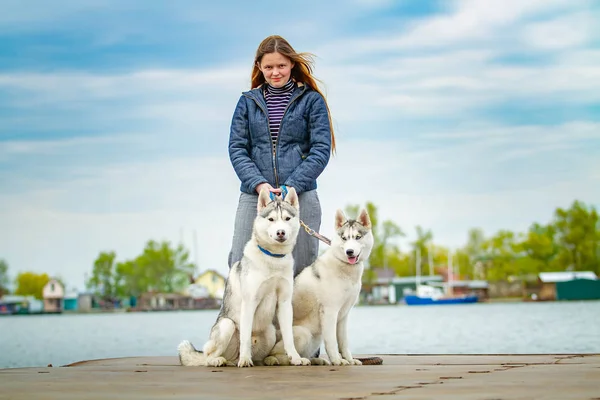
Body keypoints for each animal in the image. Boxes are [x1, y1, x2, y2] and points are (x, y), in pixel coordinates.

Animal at [177, 188, 310, 368]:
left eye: (287, 219)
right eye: (271, 219)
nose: (280, 232)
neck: (273, 258)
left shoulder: (284, 303)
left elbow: (289, 337)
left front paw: (296, 358)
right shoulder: (249, 302)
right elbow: (245, 337)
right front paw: (245, 359)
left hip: (269, 332)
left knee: (257, 356)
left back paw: (268, 360)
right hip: (227, 326)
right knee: (208, 356)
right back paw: (220, 360)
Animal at [264, 208, 372, 368]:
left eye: (357, 237)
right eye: (344, 238)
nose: (349, 252)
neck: (345, 267)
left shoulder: (343, 316)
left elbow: (344, 343)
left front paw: (349, 359)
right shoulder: (330, 312)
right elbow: (332, 342)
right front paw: (337, 360)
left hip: (315, 338)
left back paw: (316, 360)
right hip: (302, 333)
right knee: (276, 356)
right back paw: (288, 360)